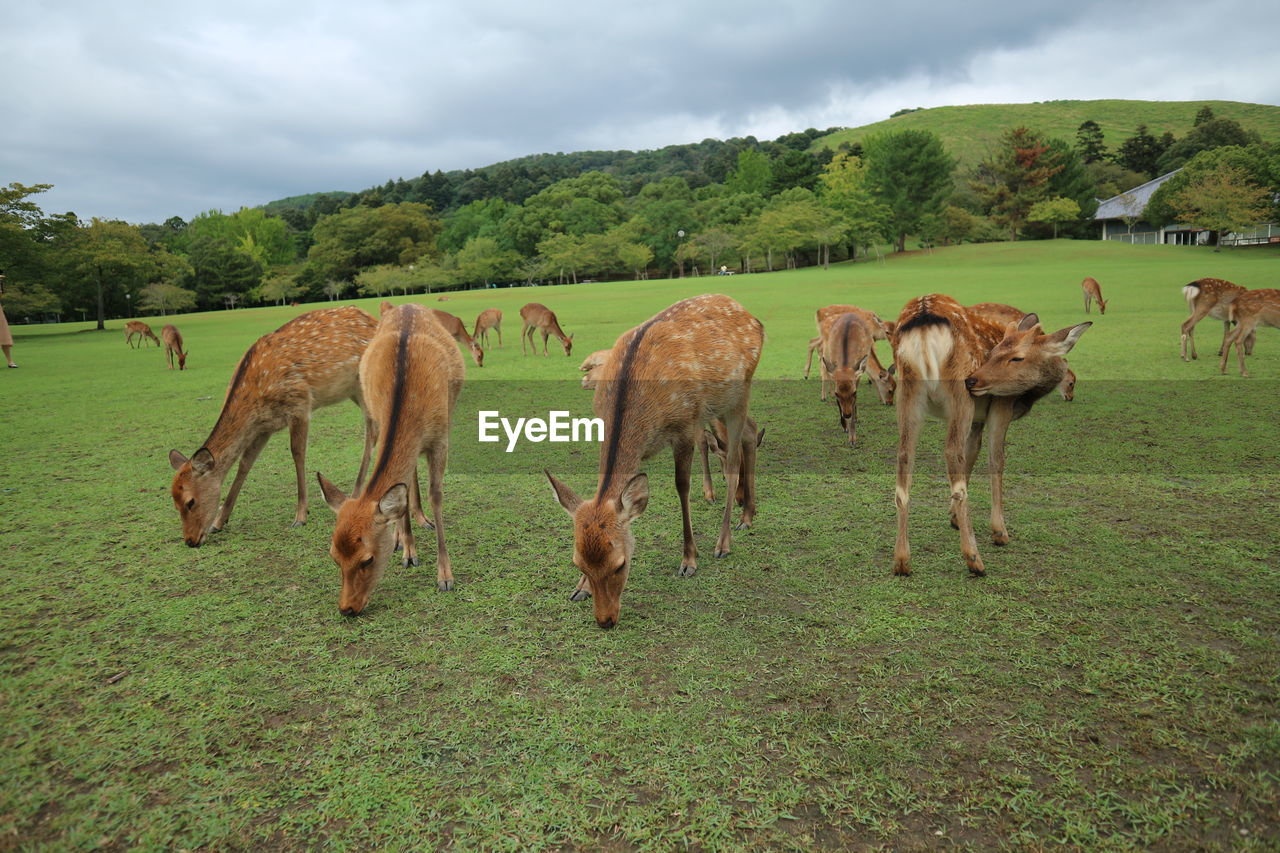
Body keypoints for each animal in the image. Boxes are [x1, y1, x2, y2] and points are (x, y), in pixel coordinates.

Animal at [166, 306, 373, 545]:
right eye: (174, 502)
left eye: (190, 501)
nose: (190, 541)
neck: (255, 399)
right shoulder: (265, 426)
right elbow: (245, 463)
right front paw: (219, 521)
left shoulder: (300, 405)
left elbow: (297, 454)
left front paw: (300, 516)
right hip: (353, 391)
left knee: (373, 429)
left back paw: (357, 491)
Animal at [318, 300, 468, 612]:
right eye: (334, 557)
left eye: (367, 559)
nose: (347, 608)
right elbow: (403, 493)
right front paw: (409, 551)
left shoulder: (441, 439)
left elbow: (437, 495)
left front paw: (445, 576)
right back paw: (402, 536)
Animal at [542, 295, 757, 627]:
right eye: (579, 564)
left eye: (620, 564)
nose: (605, 621)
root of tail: (749, 315)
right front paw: (579, 590)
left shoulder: (684, 426)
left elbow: (682, 486)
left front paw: (689, 560)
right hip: (721, 406)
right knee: (751, 432)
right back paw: (748, 514)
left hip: (739, 392)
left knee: (733, 462)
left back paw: (724, 541)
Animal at [890, 294, 1090, 578]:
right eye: (997, 353)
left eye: (1014, 357)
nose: (975, 380)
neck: (1027, 396)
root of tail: (923, 317)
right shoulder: (1000, 405)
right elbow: (997, 459)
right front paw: (1000, 532)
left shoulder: (978, 420)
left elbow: (972, 455)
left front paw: (953, 518)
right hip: (959, 393)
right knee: (951, 452)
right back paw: (974, 558)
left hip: (907, 393)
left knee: (905, 456)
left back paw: (901, 561)